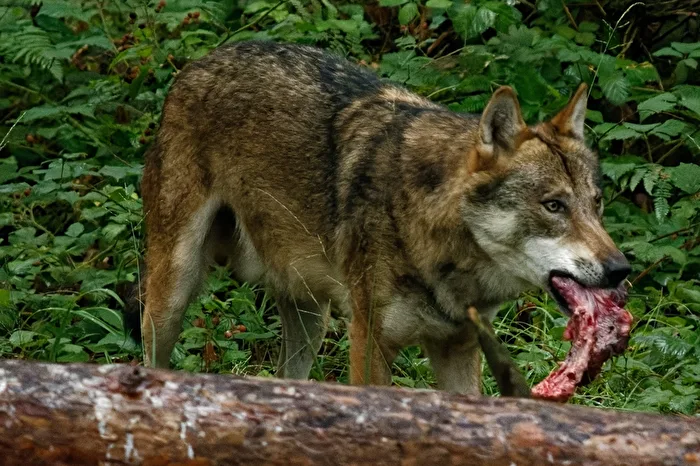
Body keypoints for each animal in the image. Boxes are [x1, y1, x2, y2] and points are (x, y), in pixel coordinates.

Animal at [139, 41, 630, 393]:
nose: (620, 269)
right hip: (172, 294)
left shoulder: (457, 346)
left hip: (311, 317)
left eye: (596, 203)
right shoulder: (368, 341)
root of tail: (200, 61)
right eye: (553, 205)